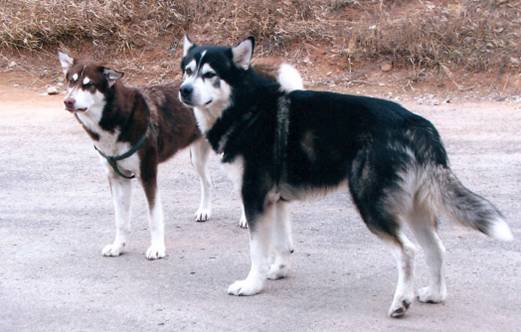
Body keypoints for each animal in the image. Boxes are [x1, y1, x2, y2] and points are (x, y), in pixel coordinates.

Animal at [178, 35, 512, 316]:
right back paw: (435, 294)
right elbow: (281, 244)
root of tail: (415, 124)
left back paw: (400, 303)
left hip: (371, 204)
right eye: (188, 71)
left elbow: (257, 250)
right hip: (415, 208)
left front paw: (251, 285)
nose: (184, 91)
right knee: (435, 249)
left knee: (407, 251)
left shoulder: (255, 197)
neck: (246, 108)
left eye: (210, 74)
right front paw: (279, 270)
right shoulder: (276, 200)